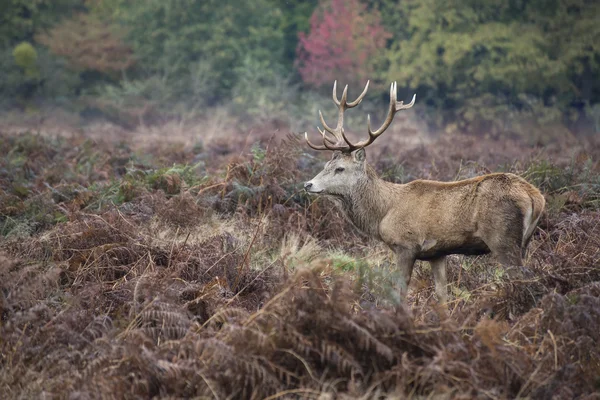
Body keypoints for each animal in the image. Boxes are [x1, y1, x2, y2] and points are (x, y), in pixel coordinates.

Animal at [302, 82, 548, 306]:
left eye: (340, 168)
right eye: (325, 165)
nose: (308, 184)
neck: (383, 213)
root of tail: (536, 197)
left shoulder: (406, 245)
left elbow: (399, 292)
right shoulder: (436, 253)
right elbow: (442, 295)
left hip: (502, 238)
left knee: (525, 278)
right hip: (524, 241)